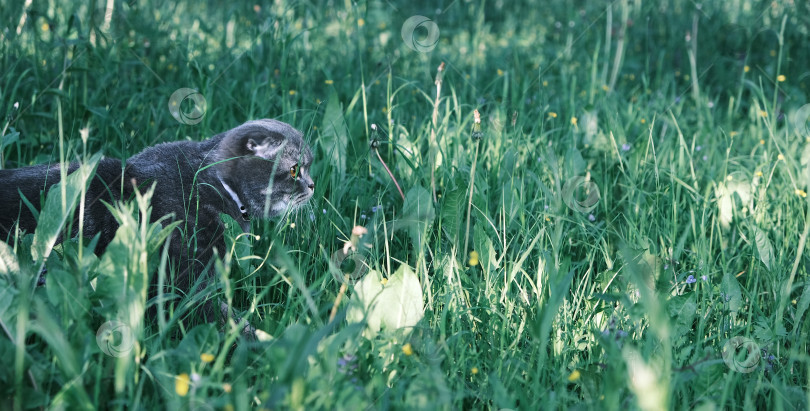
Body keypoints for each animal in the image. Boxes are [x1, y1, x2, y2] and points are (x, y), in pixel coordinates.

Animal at [0, 118, 312, 334]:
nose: (312, 184)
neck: (210, 182)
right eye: (295, 170)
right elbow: (226, 320)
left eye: (307, 168)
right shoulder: (185, 285)